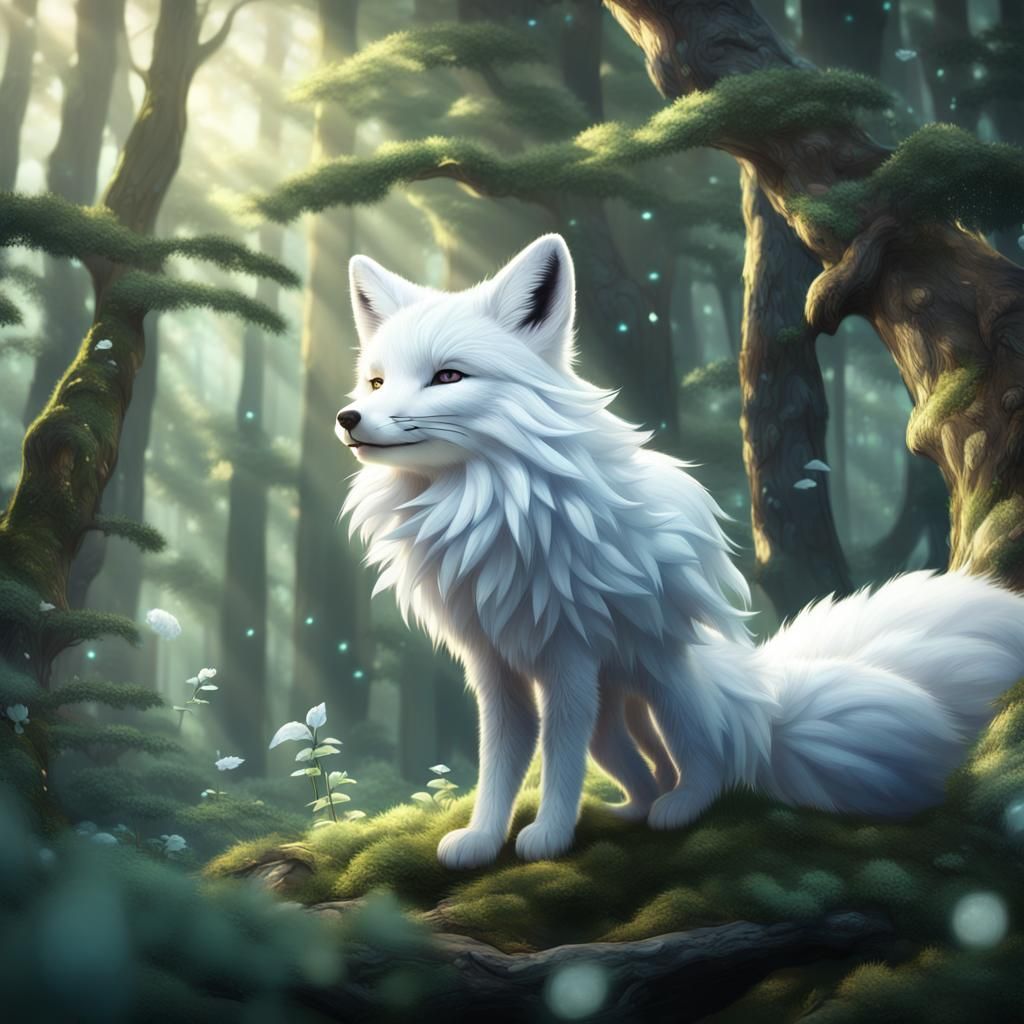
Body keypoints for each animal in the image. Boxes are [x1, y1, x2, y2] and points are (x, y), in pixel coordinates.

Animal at [337, 232, 1024, 870]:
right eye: (375, 381)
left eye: (448, 376)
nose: (348, 418)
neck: (483, 503)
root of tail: (763, 703)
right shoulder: (495, 664)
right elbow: (502, 760)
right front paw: (483, 840)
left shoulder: (568, 658)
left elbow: (557, 755)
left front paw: (549, 838)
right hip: (619, 706)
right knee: (639, 764)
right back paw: (636, 807)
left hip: (666, 685)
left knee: (704, 760)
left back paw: (680, 807)